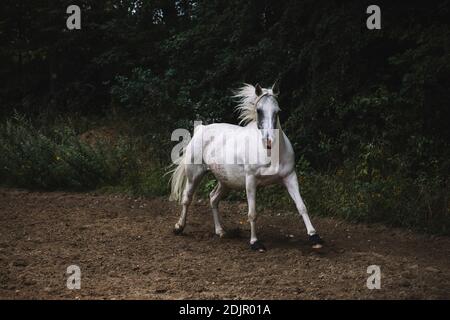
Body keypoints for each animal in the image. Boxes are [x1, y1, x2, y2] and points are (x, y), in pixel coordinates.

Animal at [171, 84, 322, 251]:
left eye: (277, 111)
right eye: (259, 111)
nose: (269, 142)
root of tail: (201, 129)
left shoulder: (289, 176)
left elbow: (301, 206)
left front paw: (314, 237)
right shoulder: (250, 180)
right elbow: (252, 213)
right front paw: (255, 242)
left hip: (226, 181)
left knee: (213, 198)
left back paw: (220, 231)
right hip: (195, 175)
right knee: (187, 198)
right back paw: (179, 227)